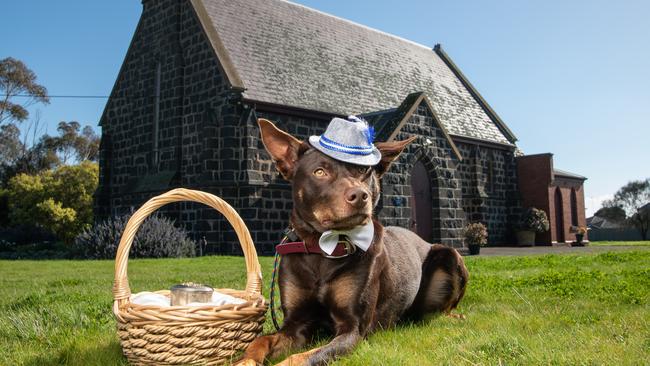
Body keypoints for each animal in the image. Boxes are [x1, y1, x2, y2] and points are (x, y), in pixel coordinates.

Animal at [238, 118, 466, 364]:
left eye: (363, 170)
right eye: (319, 172)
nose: (359, 196)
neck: (323, 249)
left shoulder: (352, 328)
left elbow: (302, 358)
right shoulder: (295, 324)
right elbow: (259, 342)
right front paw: (244, 360)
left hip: (450, 255)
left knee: (443, 309)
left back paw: (453, 317)